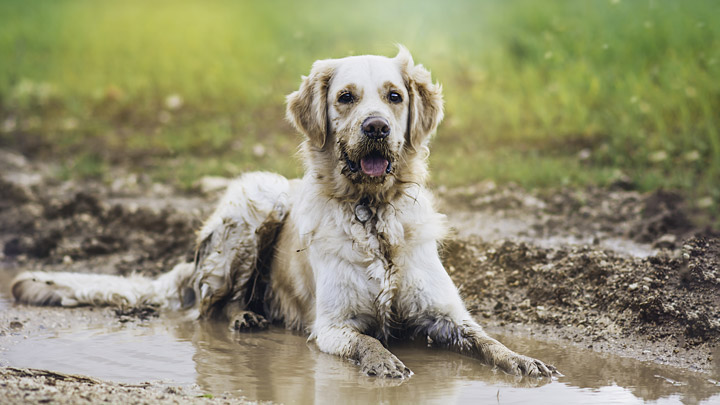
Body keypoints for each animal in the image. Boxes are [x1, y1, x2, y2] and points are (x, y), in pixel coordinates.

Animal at [14, 47, 560, 378]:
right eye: (346, 98)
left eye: (394, 96)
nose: (378, 127)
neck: (373, 216)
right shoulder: (333, 326)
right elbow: (369, 343)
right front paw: (384, 363)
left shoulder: (445, 315)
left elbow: (488, 339)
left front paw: (525, 360)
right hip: (256, 205)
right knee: (205, 310)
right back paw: (246, 317)